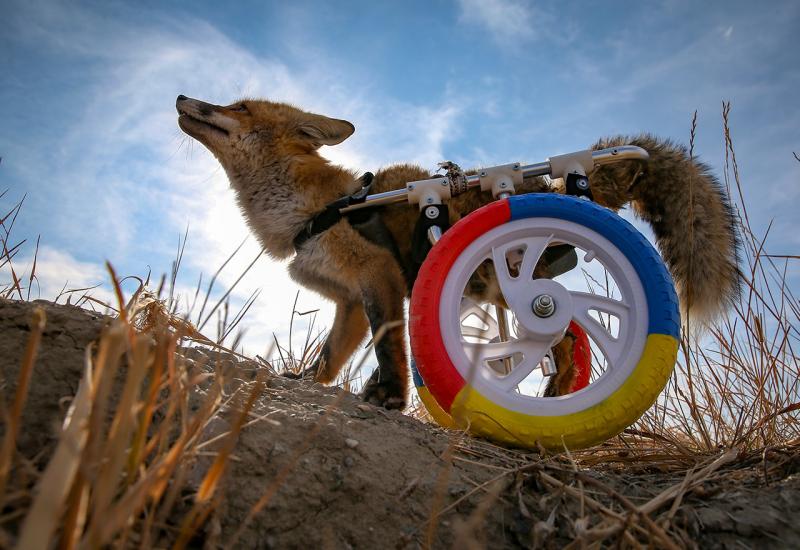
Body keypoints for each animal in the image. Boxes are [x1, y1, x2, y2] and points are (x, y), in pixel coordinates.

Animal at [178, 95, 740, 412]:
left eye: (239, 107)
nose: (183, 95)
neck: (316, 209)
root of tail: (558, 183)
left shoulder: (379, 277)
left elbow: (390, 347)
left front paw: (391, 397)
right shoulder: (351, 302)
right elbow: (329, 359)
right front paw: (304, 383)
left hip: (510, 284)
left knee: (559, 328)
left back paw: (558, 398)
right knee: (569, 337)